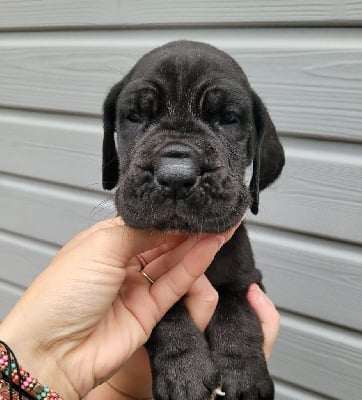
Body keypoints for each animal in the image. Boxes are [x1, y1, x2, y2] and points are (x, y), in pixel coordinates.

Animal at [102, 40, 286, 400]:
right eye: (135, 117)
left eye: (228, 119)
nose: (175, 176)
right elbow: (165, 311)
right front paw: (184, 371)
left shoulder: (248, 277)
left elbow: (237, 309)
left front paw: (245, 373)